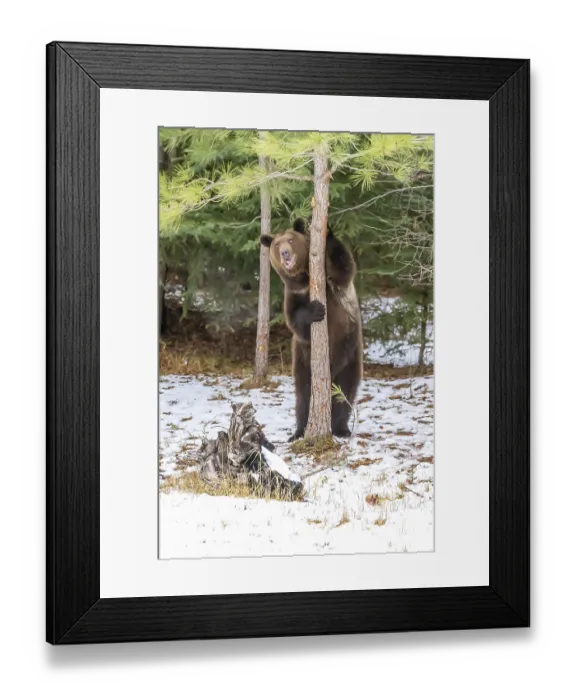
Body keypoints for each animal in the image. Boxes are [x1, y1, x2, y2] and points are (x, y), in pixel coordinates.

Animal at [261, 218, 363, 440]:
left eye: (290, 239)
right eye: (277, 244)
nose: (285, 253)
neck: (304, 278)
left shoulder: (332, 281)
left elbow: (344, 265)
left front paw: (326, 231)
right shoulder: (294, 293)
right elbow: (295, 321)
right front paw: (315, 309)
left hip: (350, 352)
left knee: (346, 390)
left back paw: (341, 428)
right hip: (303, 361)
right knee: (304, 395)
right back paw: (299, 431)